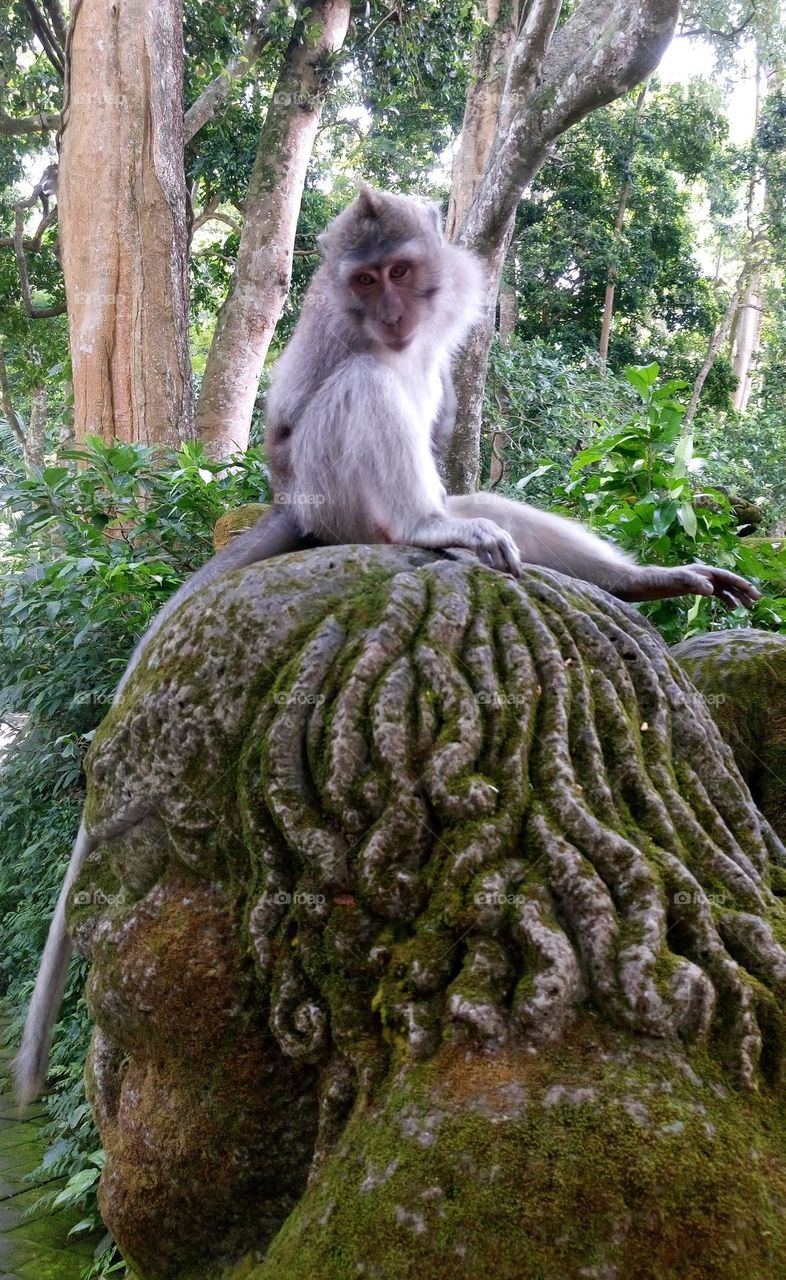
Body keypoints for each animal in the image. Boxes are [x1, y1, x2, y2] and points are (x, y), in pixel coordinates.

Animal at [14, 185, 759, 1107]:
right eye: (366, 281)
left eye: (402, 271)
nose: (394, 313)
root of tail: (300, 516)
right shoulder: (326, 341)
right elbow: (299, 409)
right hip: (332, 497)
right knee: (366, 396)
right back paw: (426, 526)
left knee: (481, 501)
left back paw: (615, 577)